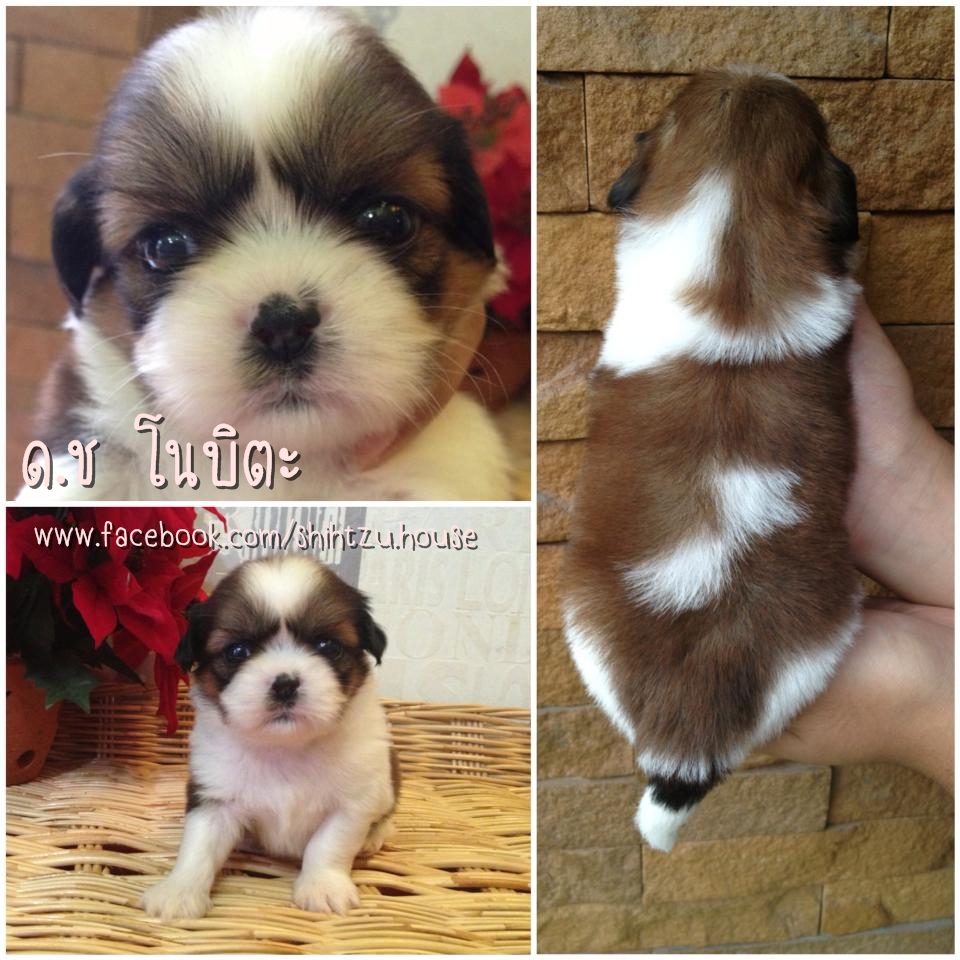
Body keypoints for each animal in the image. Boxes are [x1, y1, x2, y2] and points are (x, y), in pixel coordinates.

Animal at [141, 556, 397, 919]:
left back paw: (376, 836)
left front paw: (322, 886)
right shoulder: (215, 796)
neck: (285, 748)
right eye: (238, 651)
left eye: (328, 646)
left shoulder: (353, 802)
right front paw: (179, 891)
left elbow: (329, 844)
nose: (285, 684)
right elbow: (198, 846)